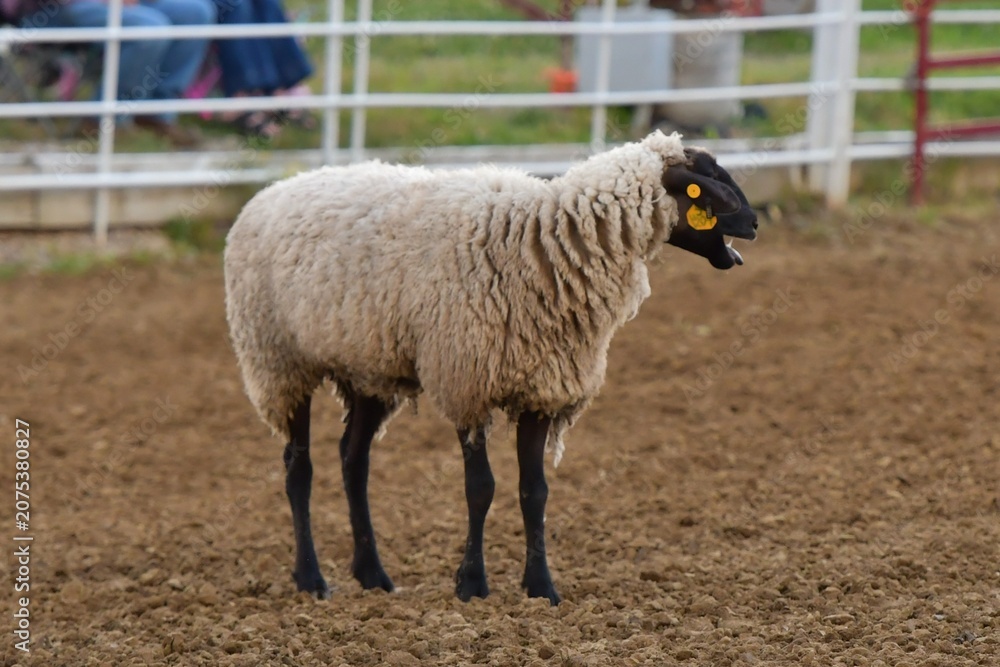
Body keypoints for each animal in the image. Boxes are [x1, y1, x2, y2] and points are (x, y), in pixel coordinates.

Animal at [223, 130, 758, 605]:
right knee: (299, 467)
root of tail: (267, 194)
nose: (754, 224)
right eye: (710, 181)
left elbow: (534, 491)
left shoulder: (543, 388)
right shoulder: (469, 382)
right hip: (280, 360)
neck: (545, 243)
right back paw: (311, 579)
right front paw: (472, 586)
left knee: (354, 462)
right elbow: (480, 489)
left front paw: (541, 588)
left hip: (367, 368)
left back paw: (373, 575)